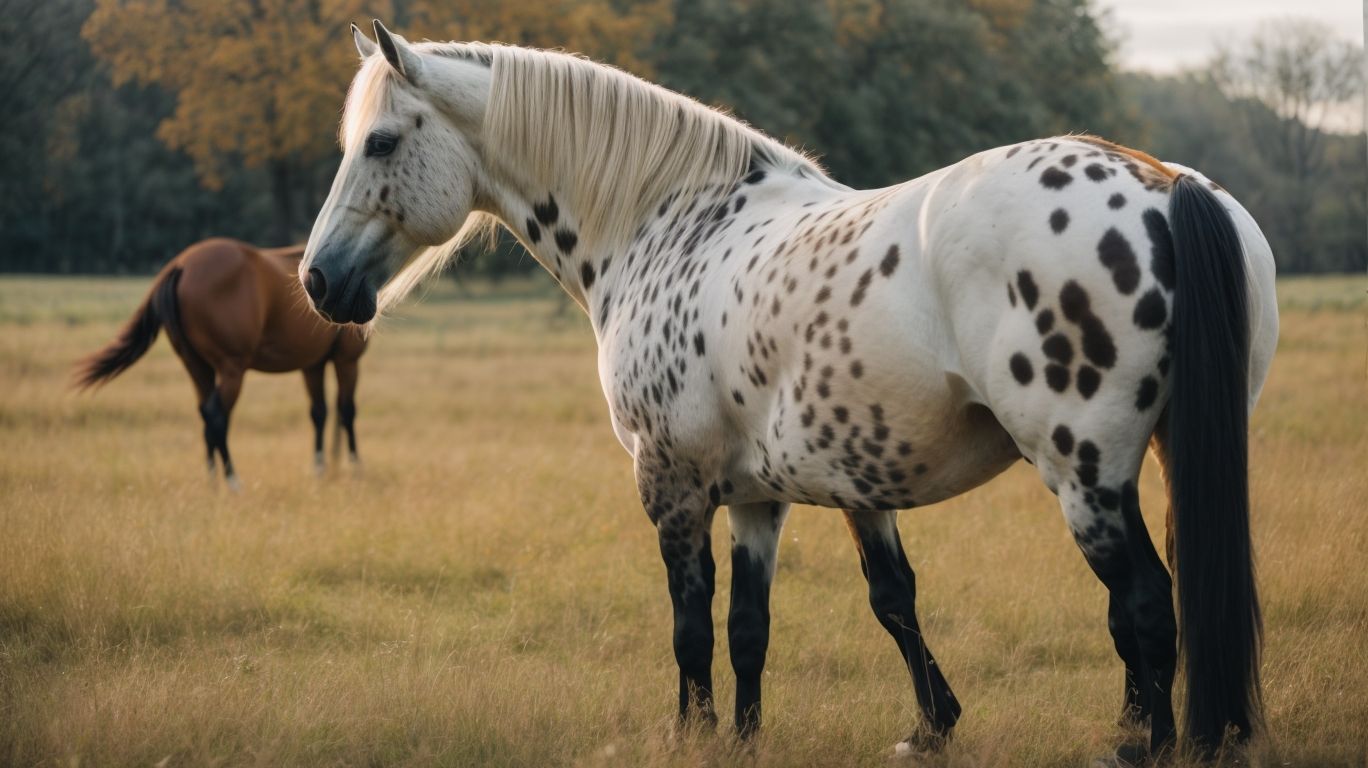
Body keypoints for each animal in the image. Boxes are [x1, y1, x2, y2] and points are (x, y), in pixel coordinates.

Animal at [75, 238, 368, 490]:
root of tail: (181, 264)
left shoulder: (312, 365)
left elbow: (319, 412)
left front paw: (320, 469)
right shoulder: (347, 361)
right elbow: (347, 411)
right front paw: (355, 468)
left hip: (196, 366)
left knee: (205, 414)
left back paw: (213, 482)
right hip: (232, 369)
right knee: (217, 415)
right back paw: (232, 481)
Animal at [301, 21, 1279, 760]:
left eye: (380, 141)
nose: (316, 280)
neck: (669, 223)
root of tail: (1162, 184)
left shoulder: (672, 483)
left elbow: (693, 623)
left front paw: (692, 736)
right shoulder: (769, 497)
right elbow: (797, 619)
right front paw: (798, 735)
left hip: (1085, 474)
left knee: (1144, 604)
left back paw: (1143, 745)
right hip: (1168, 456)